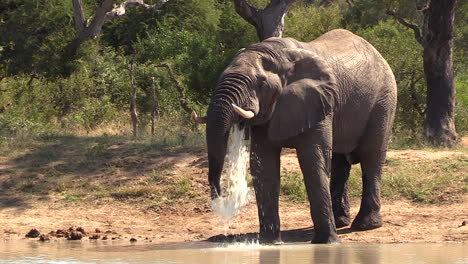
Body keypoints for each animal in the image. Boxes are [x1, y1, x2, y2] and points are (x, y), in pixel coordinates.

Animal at [192, 28, 396, 243]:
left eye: (261, 84)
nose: (220, 198)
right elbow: (264, 166)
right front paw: (269, 242)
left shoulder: (318, 101)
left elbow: (312, 161)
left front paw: (326, 243)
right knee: (340, 163)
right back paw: (341, 221)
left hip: (384, 100)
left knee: (371, 158)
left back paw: (365, 225)